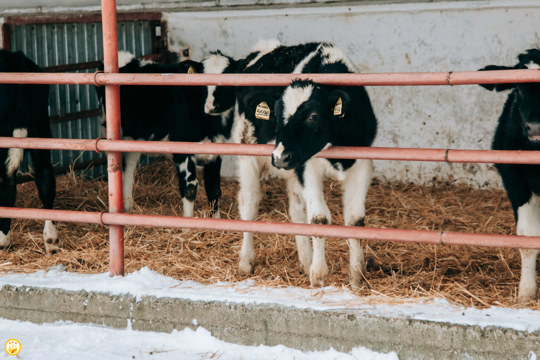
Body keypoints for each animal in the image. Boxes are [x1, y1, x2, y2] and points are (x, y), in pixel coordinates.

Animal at [98, 53, 233, 217]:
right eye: (202, 82)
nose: (212, 106)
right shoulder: (182, 151)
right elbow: (190, 189)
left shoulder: (217, 152)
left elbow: (214, 190)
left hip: (134, 137)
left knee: (129, 164)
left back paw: (128, 207)